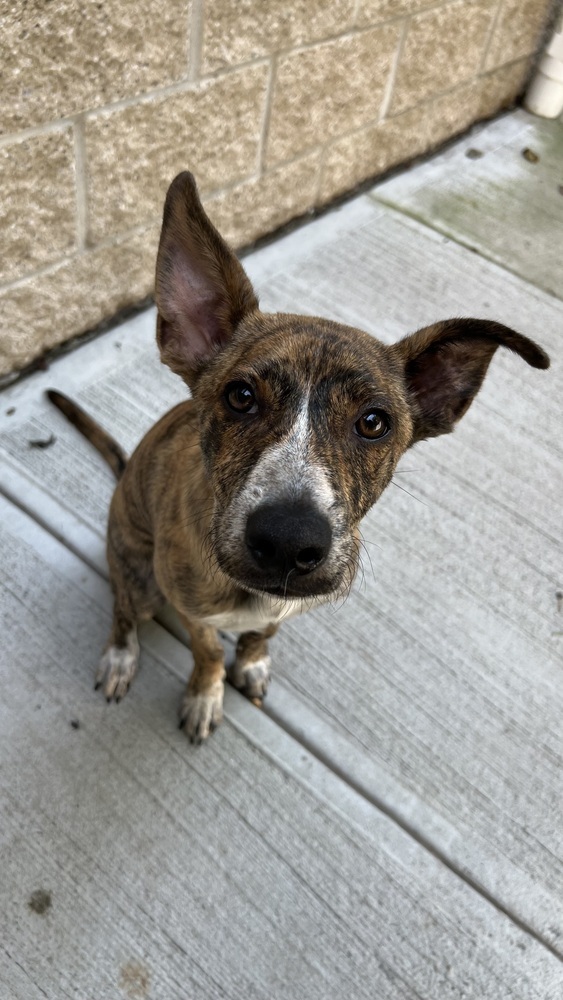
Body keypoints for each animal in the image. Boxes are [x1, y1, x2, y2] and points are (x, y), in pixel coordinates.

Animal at [48, 172, 552, 744]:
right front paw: (205, 694)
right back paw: (119, 656)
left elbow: (261, 634)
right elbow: (206, 653)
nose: (288, 542)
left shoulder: (288, 607)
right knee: (124, 609)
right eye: (240, 396)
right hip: (140, 574)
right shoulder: (191, 609)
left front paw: (251, 662)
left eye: (374, 422)